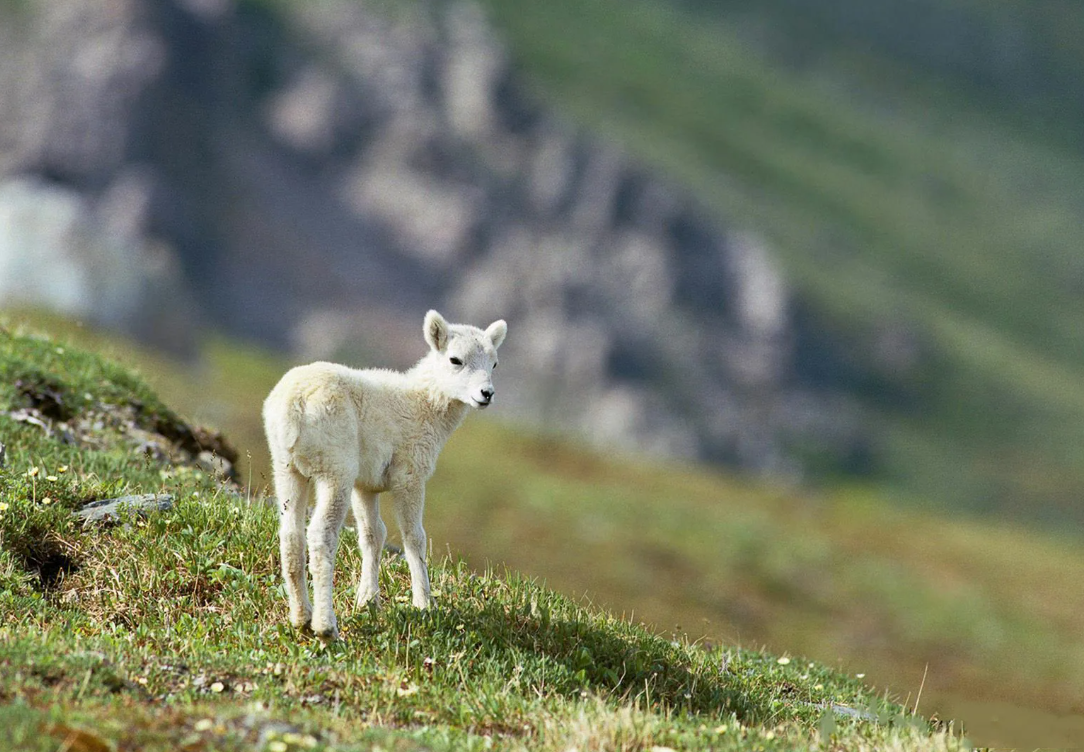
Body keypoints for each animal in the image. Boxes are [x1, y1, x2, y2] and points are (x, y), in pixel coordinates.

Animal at [266, 309, 511, 637]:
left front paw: (368, 600)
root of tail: (295, 405)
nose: (486, 394)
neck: (425, 405)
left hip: (287, 467)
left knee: (291, 535)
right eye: (455, 360)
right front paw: (424, 603)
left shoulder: (366, 485)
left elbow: (373, 535)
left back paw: (300, 619)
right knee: (321, 535)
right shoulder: (410, 475)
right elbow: (414, 536)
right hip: (335, 469)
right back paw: (326, 626)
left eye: (494, 364)